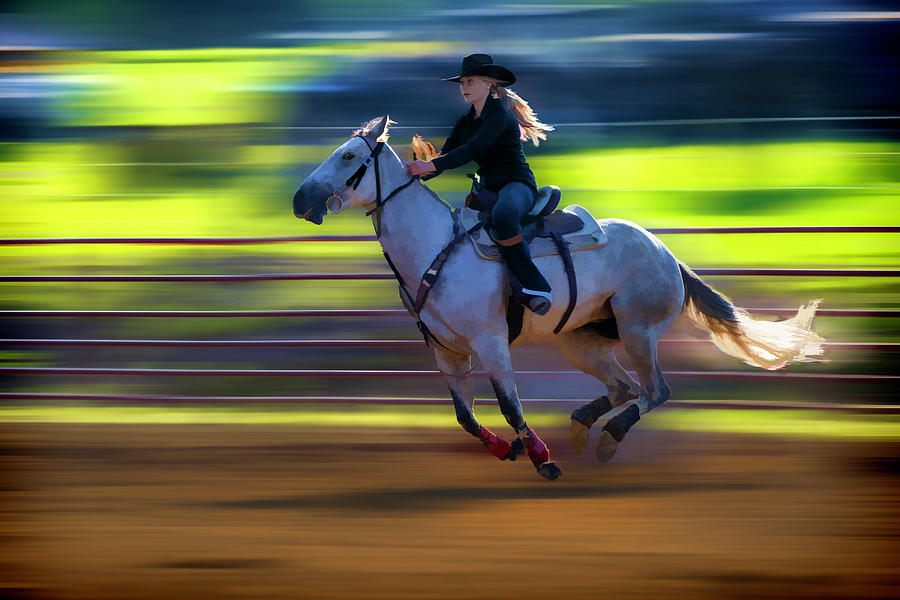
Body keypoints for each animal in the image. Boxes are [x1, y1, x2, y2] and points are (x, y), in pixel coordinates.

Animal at [292, 115, 828, 480]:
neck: (435, 247)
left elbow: (510, 405)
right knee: (624, 388)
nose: (300, 199)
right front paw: (506, 450)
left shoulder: (491, 344)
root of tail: (666, 253)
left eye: (347, 156)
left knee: (654, 391)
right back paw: (580, 426)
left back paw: (606, 439)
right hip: (581, 340)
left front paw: (542, 460)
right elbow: (465, 416)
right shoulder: (447, 353)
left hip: (638, 330)